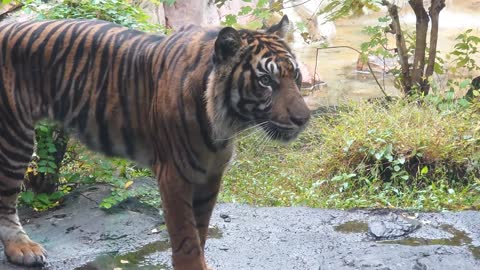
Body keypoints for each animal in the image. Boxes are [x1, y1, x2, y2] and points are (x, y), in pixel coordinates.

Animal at [0, 15, 310, 270]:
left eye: (295, 74)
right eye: (265, 80)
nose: (304, 118)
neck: (224, 122)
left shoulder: (211, 174)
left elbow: (201, 230)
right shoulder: (174, 174)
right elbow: (186, 238)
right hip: (14, 137)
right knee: (6, 202)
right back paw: (22, 249)